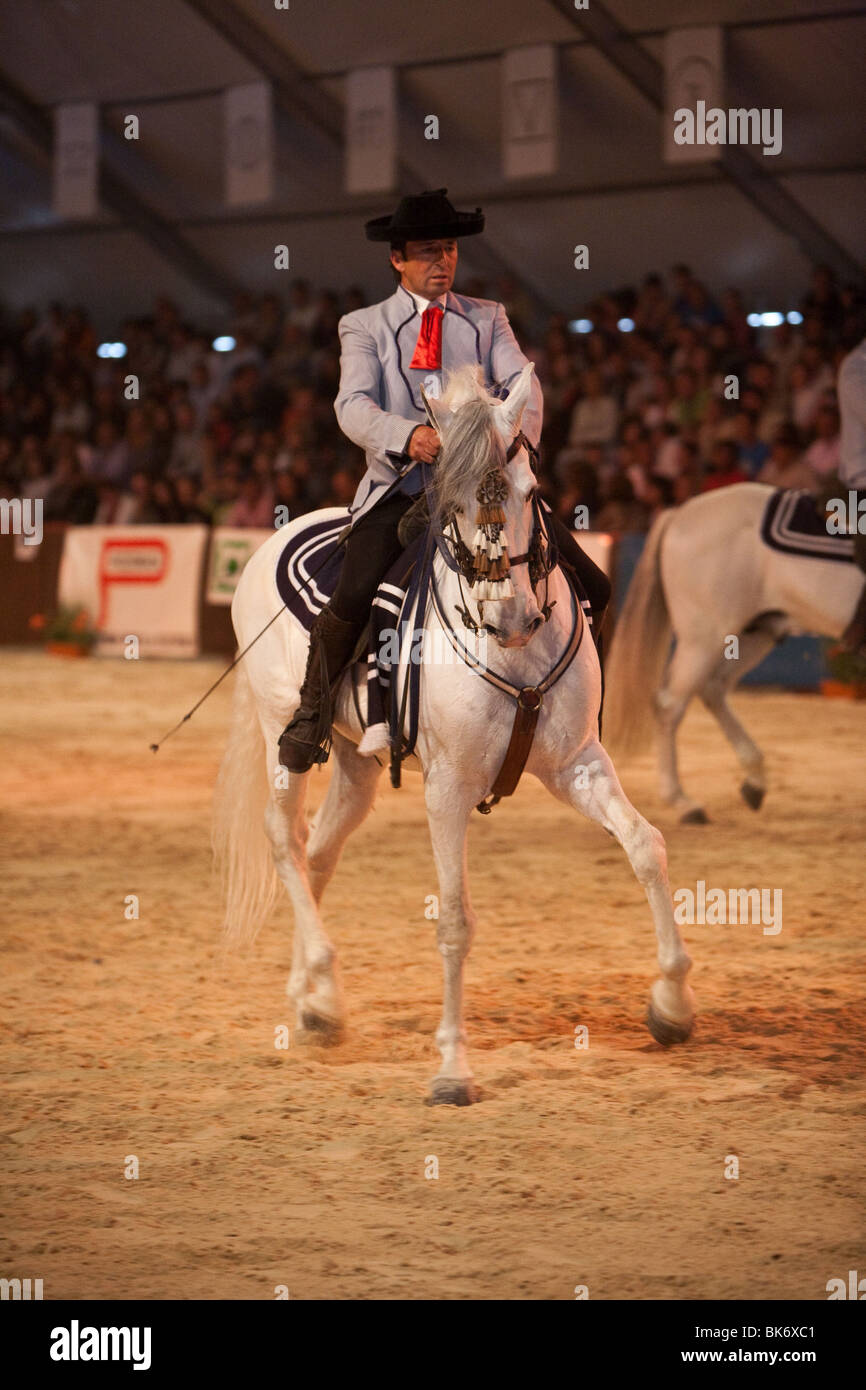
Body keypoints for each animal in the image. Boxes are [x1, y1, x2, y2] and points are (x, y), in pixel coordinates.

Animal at [216, 364, 697, 1100]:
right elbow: (454, 922)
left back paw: (316, 1000)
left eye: (531, 491)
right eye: (451, 501)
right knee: (283, 839)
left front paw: (671, 1006)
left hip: (356, 764)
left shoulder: (578, 765)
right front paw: (452, 1069)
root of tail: (276, 534)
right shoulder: (447, 791)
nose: (510, 616)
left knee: (318, 850)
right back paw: (321, 978)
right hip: (282, 737)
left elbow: (646, 846)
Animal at [606, 480, 861, 817]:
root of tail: (681, 513)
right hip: (704, 639)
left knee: (713, 689)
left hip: (754, 635)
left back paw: (754, 781)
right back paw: (682, 801)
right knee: (670, 707)